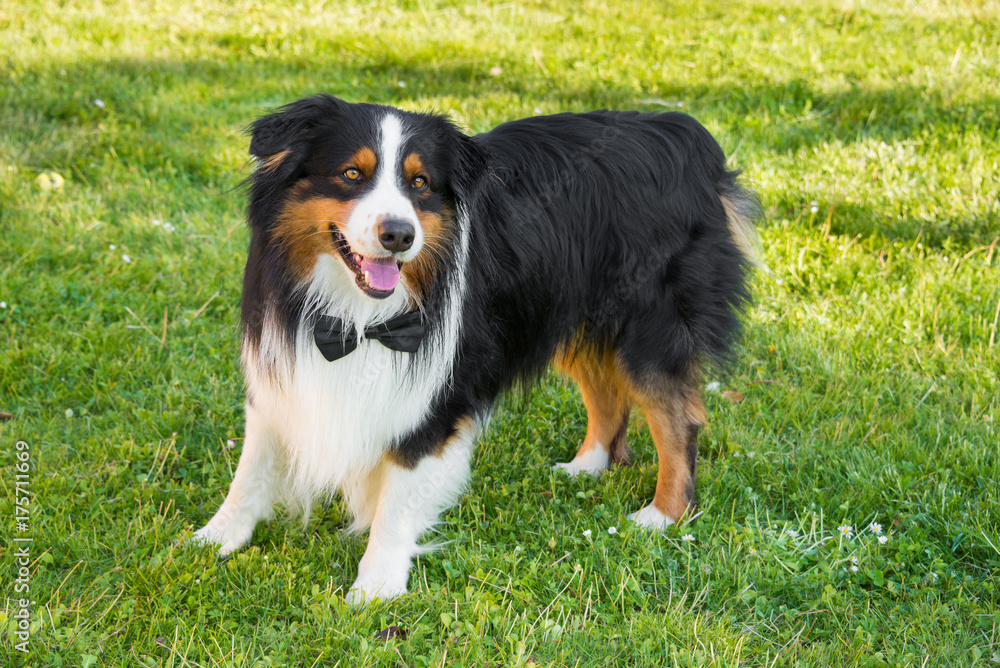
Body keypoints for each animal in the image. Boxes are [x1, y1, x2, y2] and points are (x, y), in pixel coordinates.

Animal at [191, 95, 760, 604]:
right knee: (606, 393)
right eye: (352, 174)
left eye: (420, 183)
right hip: (562, 307)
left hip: (649, 329)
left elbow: (398, 494)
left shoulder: (437, 396)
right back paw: (587, 467)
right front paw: (215, 538)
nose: (399, 235)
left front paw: (376, 586)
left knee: (677, 418)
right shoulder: (281, 371)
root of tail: (681, 133)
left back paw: (663, 515)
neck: (357, 318)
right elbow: (253, 465)